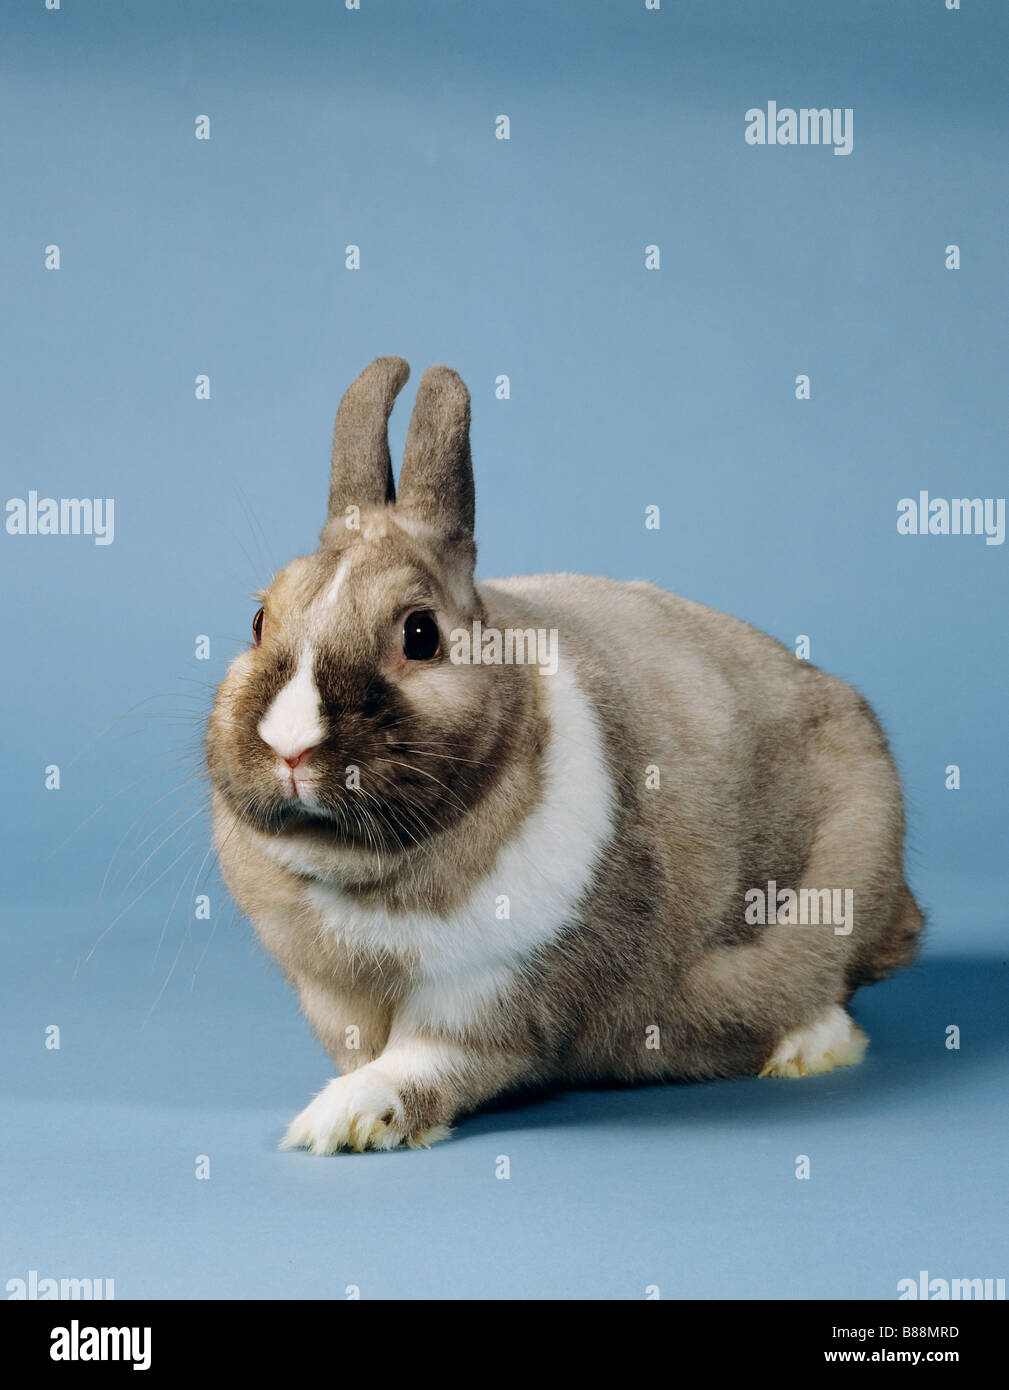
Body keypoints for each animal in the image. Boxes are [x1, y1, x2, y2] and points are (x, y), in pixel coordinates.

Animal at [207, 355, 924, 1153]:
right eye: (259, 619)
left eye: (421, 634)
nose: (290, 746)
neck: (365, 877)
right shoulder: (335, 998)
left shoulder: (498, 996)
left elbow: (427, 1065)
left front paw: (342, 1118)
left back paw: (808, 1047)